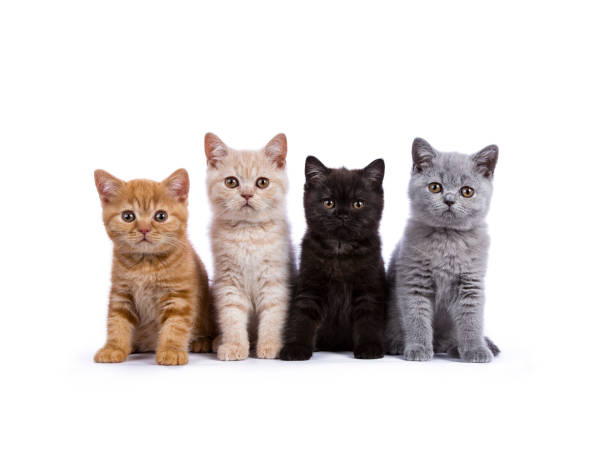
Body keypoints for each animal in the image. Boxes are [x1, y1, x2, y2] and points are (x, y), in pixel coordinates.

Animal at [92, 169, 214, 366]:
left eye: (160, 216)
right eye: (128, 216)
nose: (144, 229)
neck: (145, 265)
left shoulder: (179, 295)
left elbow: (175, 325)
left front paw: (171, 351)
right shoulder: (121, 294)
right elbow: (116, 322)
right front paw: (114, 347)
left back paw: (202, 342)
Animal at [203, 132, 294, 360]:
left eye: (262, 182)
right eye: (231, 182)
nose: (246, 194)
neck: (248, 232)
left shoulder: (275, 280)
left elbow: (273, 315)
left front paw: (271, 345)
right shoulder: (228, 282)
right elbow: (231, 316)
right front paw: (234, 346)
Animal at [280, 156, 384, 362]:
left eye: (358, 204)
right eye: (328, 203)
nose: (342, 214)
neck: (340, 251)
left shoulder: (369, 288)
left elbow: (368, 319)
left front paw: (369, 348)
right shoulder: (310, 287)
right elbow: (301, 317)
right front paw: (296, 348)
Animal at [388, 138, 502, 364]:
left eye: (467, 191)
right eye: (435, 187)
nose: (449, 200)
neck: (448, 239)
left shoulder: (471, 282)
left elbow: (471, 320)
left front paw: (476, 349)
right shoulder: (414, 280)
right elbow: (416, 317)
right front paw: (418, 348)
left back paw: (457, 348)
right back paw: (397, 344)